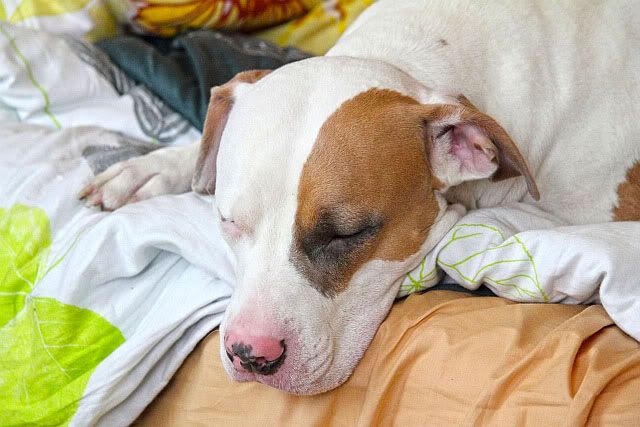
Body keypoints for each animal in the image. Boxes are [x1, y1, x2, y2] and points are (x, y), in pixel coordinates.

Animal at [79, 0, 640, 394]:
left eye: (348, 233)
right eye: (229, 222)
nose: (250, 354)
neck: (412, 53)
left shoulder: (579, 211)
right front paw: (152, 166)